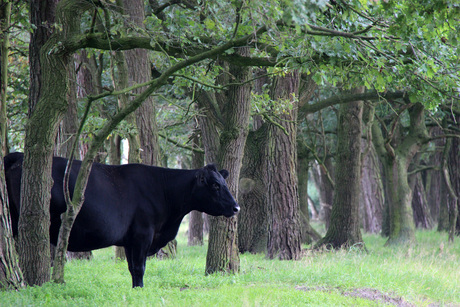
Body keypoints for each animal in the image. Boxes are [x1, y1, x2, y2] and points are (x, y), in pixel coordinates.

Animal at [3, 153, 239, 290]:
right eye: (215, 185)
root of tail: (18, 155)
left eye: (224, 182)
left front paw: (135, 290)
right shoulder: (143, 234)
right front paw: (140, 290)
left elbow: (131, 268)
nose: (236, 207)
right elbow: (140, 267)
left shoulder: (129, 240)